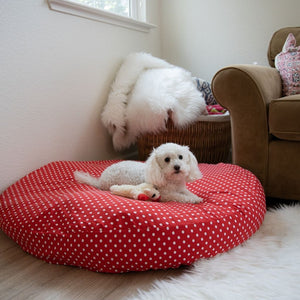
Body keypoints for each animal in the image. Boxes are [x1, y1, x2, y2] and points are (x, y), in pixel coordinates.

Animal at [74, 143, 203, 204]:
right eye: (167, 159)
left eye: (180, 157)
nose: (177, 167)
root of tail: (100, 180)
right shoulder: (166, 195)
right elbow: (181, 197)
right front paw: (194, 200)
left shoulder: (181, 189)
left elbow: (188, 193)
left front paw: (196, 197)